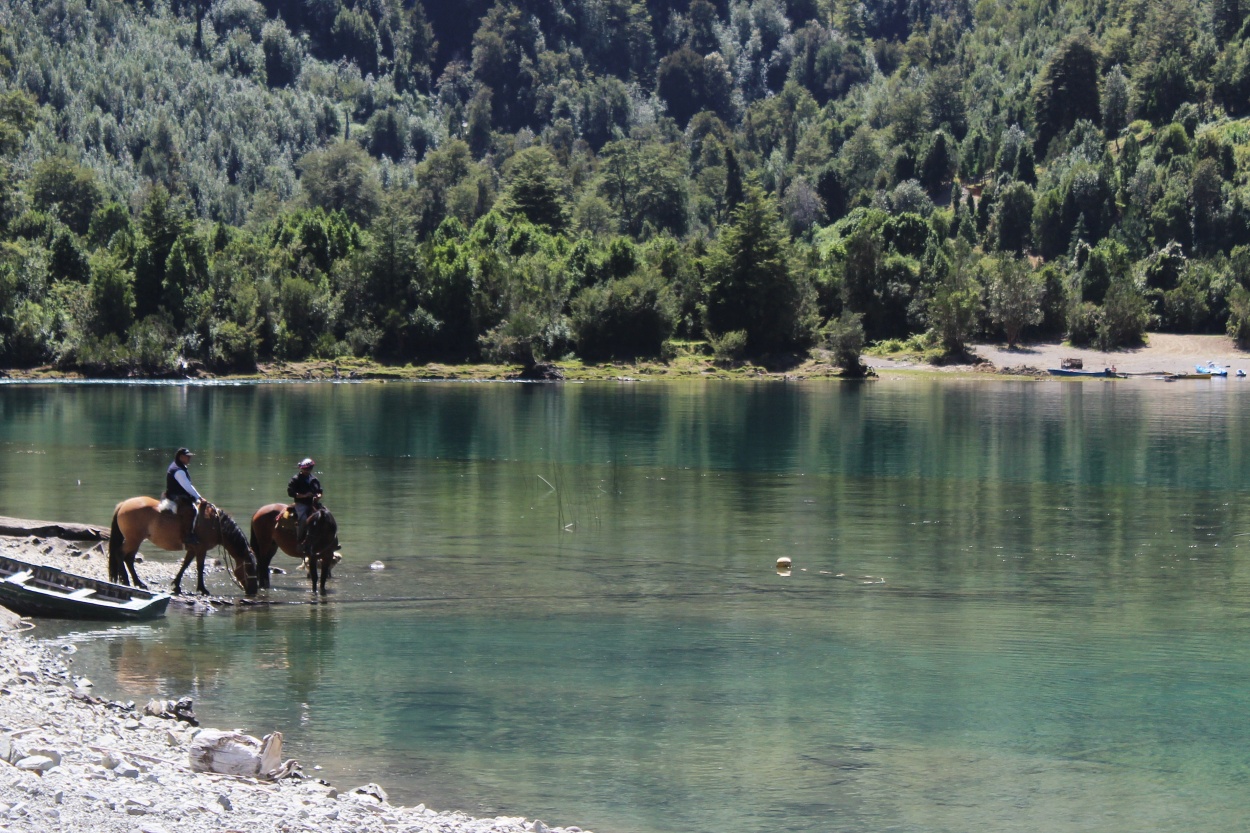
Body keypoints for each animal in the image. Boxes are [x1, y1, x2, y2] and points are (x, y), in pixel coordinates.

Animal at [110, 495, 258, 592]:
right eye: (249, 567)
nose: (254, 591)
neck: (216, 524)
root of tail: (123, 504)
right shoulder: (201, 549)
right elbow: (200, 567)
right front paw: (202, 589)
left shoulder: (192, 549)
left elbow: (185, 565)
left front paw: (176, 584)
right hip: (133, 540)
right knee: (120, 554)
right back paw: (127, 580)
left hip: (136, 541)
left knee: (129, 559)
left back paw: (138, 582)